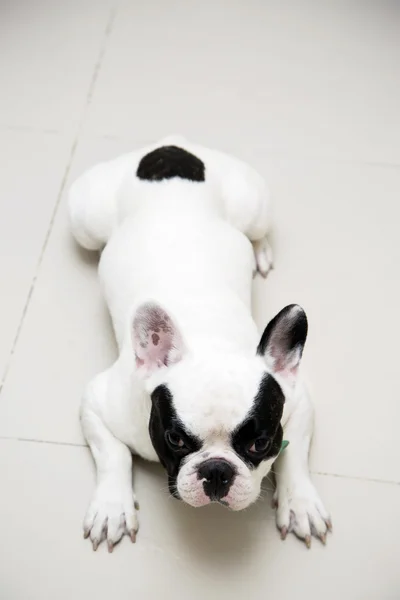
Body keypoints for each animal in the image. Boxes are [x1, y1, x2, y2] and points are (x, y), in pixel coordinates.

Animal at [69, 135, 332, 552]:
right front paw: (112, 506)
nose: (217, 471)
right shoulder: (98, 404)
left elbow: (296, 457)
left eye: (260, 443)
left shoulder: (299, 403)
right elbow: (113, 455)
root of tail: (170, 145)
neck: (211, 337)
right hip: (84, 220)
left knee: (256, 232)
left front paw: (301, 502)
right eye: (175, 438)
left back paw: (259, 253)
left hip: (255, 206)